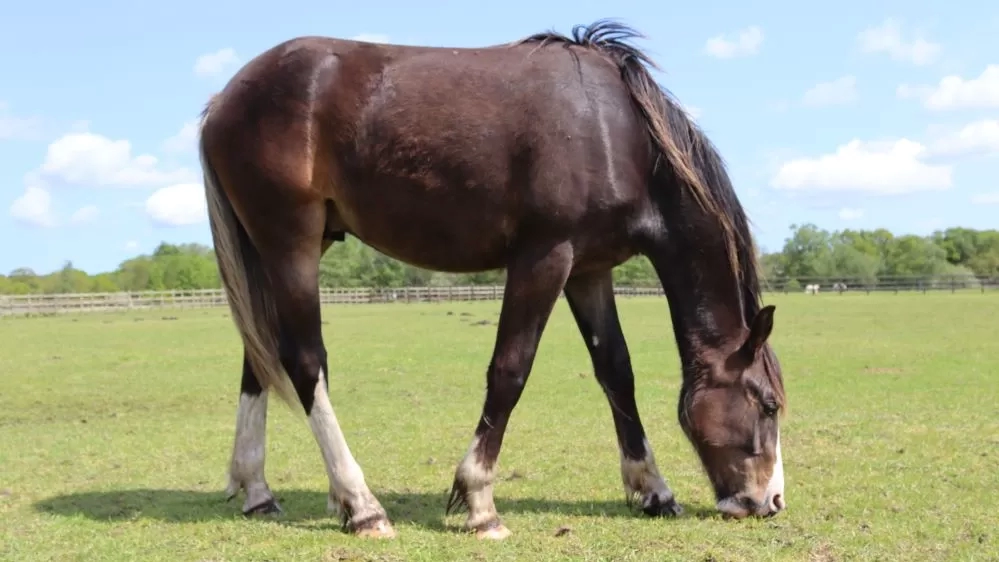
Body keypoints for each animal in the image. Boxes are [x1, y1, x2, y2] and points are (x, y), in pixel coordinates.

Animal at [197, 19, 788, 540]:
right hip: (291, 243)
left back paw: (258, 490)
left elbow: (617, 371)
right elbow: (510, 371)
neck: (614, 131)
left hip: (284, 250)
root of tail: (223, 101)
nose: (771, 502)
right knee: (303, 362)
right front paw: (479, 502)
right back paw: (362, 506)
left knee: (259, 358)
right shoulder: (544, 258)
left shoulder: (589, 269)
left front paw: (653, 490)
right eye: (768, 405)